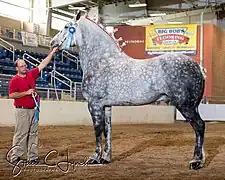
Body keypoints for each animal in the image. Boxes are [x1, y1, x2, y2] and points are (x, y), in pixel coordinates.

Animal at [50, 11, 206, 170]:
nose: (52, 42)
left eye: (66, 26)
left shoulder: (94, 104)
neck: (101, 60)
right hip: (192, 106)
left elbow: (98, 130)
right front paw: (105, 158)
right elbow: (107, 130)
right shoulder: (106, 106)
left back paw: (196, 161)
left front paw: (94, 158)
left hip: (186, 106)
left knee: (199, 126)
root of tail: (197, 67)